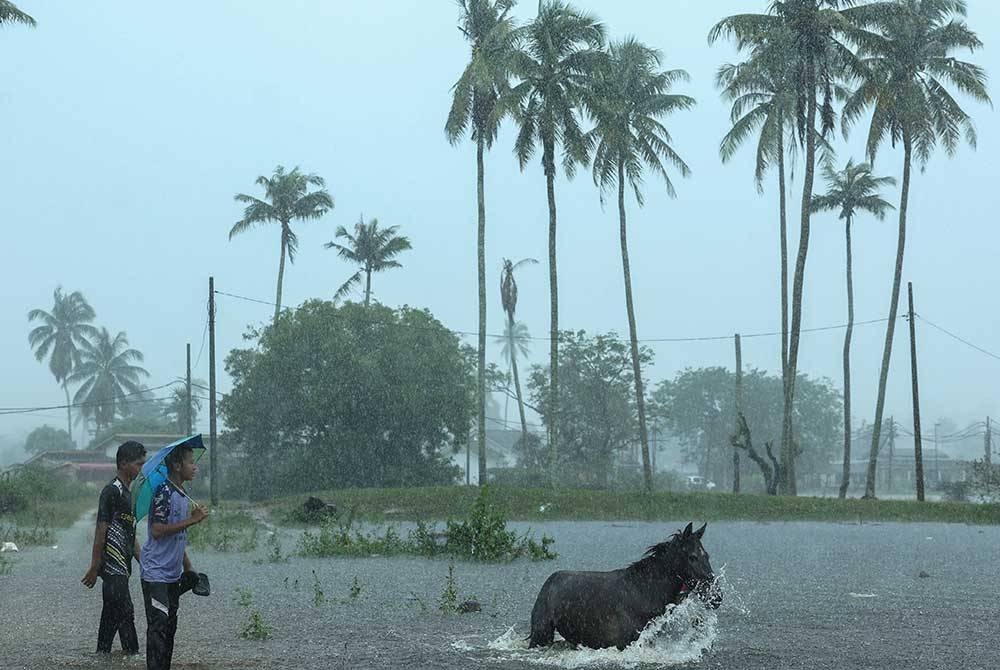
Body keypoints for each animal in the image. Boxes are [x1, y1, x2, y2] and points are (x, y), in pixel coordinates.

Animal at [528, 524, 724, 652]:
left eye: (706, 555)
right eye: (692, 557)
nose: (716, 596)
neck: (647, 592)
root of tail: (549, 581)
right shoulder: (625, 643)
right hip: (541, 634)